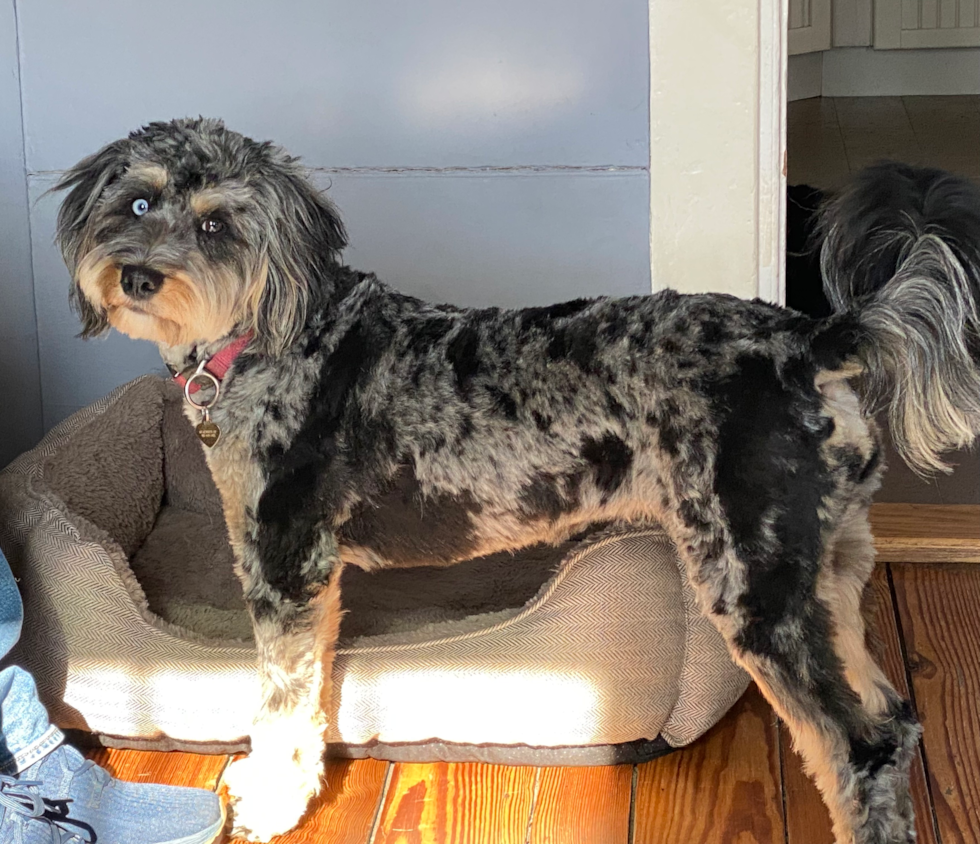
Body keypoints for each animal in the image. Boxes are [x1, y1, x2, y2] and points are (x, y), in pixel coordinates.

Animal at [53, 120, 980, 844]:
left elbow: (283, 707)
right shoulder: (311, 581)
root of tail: (808, 340)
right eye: (138, 203)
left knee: (859, 743)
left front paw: (273, 800)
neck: (274, 335)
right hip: (826, 569)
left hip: (754, 580)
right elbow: (310, 693)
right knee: (889, 720)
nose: (137, 275)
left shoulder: (285, 565)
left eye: (217, 226)